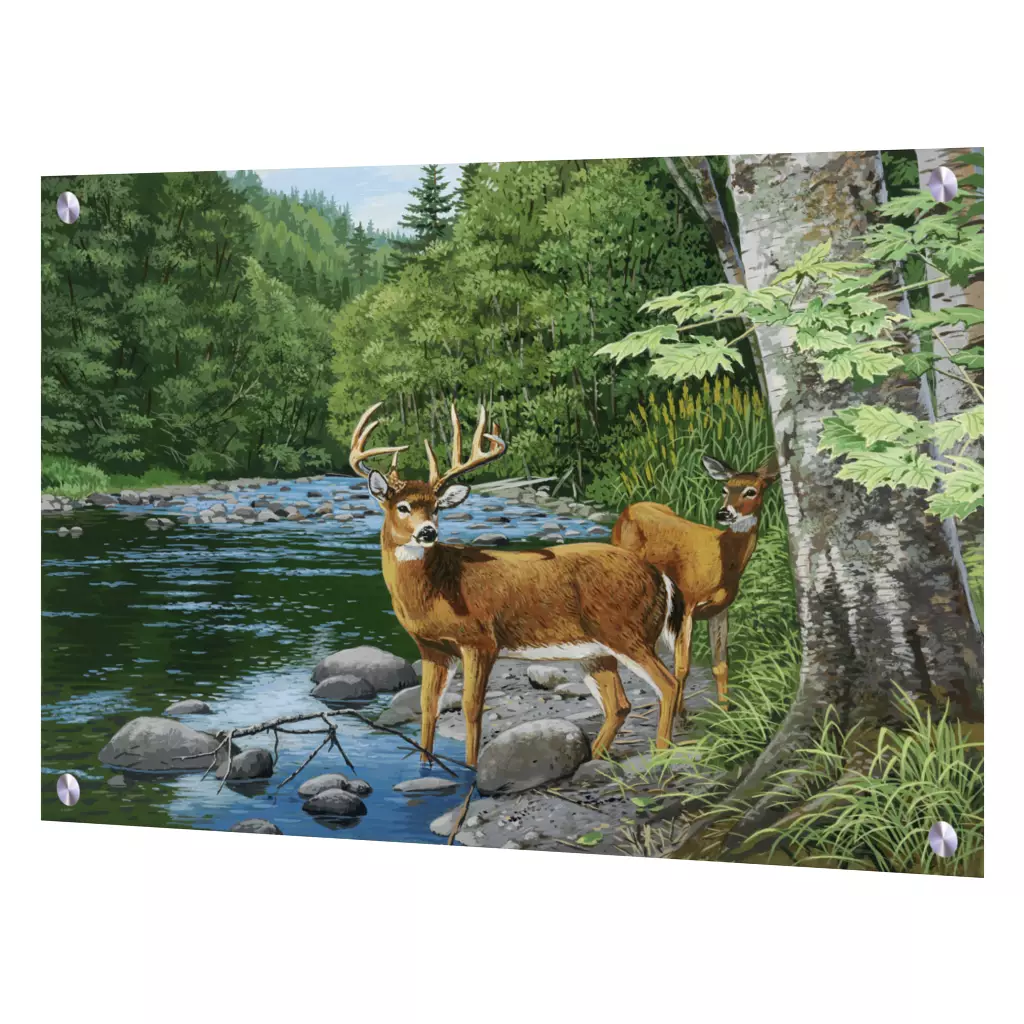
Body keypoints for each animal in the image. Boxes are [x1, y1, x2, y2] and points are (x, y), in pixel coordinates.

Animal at [349, 401, 685, 767]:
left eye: (436, 507)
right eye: (403, 506)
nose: (428, 532)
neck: (437, 589)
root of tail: (660, 576)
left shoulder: (481, 640)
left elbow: (471, 708)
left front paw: (470, 768)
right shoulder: (432, 648)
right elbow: (428, 707)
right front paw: (425, 767)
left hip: (627, 631)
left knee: (668, 685)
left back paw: (663, 753)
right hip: (596, 652)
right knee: (619, 704)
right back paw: (594, 757)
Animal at [611, 453, 780, 713]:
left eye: (751, 491)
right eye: (724, 489)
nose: (724, 513)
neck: (722, 562)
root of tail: (629, 508)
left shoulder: (720, 609)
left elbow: (720, 665)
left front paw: (725, 711)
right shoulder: (687, 604)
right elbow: (683, 666)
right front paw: (680, 715)